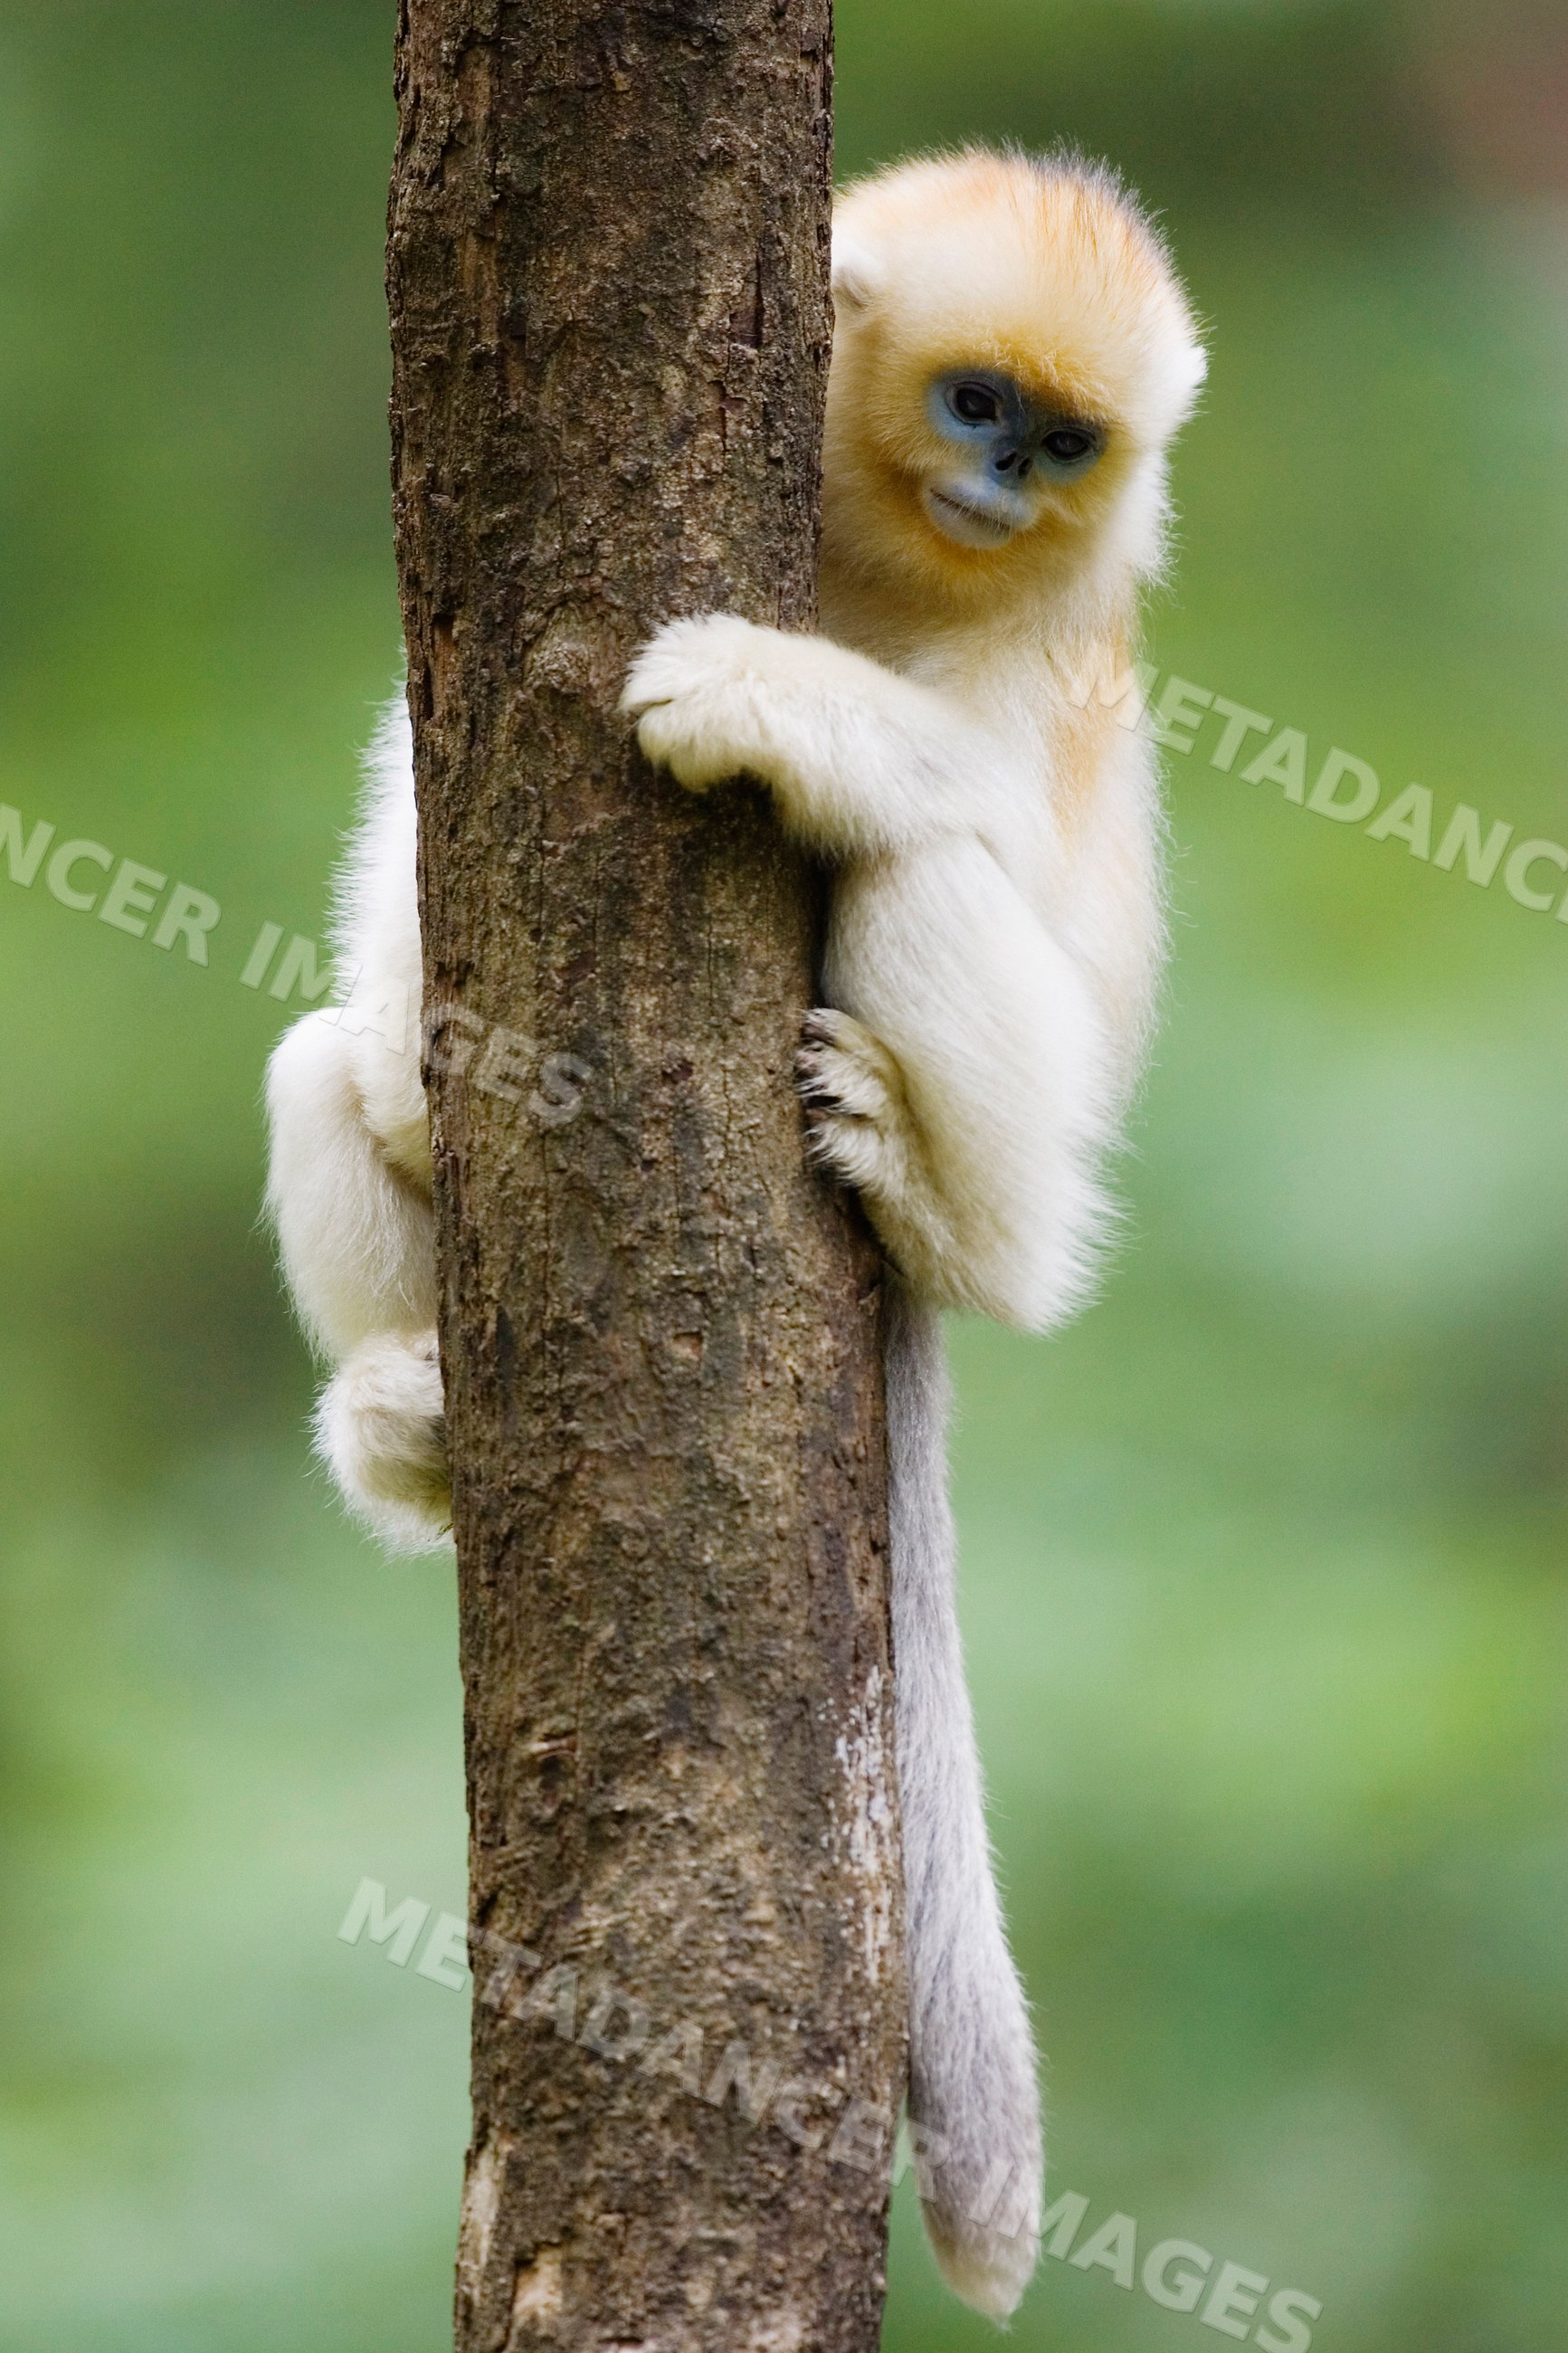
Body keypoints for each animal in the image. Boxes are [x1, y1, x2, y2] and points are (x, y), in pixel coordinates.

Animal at [265, 146, 1204, 2320]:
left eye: (1064, 440)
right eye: (974, 403)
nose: (1008, 480)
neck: (889, 566)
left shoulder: (1063, 652)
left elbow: (1012, 854)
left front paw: (760, 694)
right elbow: (410, 781)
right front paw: (412, 1051)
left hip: (1020, 1169)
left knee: (930, 894)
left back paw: (922, 1193)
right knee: (309, 1064)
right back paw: (409, 1419)